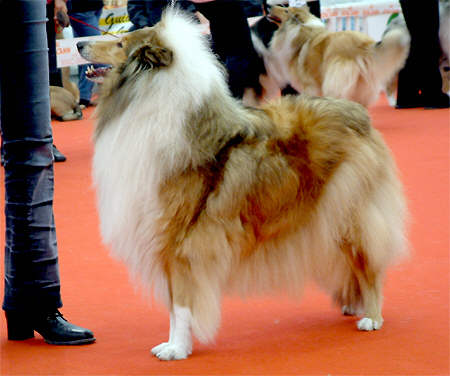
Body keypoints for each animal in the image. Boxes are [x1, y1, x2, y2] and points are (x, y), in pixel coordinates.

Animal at [260, 5, 412, 106]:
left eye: (286, 10)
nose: (268, 6)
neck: (299, 29)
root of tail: (363, 45)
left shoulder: (309, 85)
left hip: (335, 80)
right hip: (362, 85)